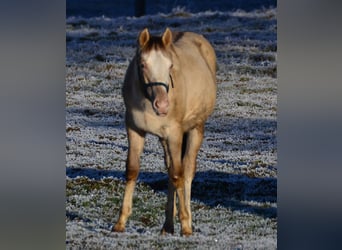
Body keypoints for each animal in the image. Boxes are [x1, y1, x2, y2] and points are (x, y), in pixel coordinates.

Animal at [113, 27, 218, 236]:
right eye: (143, 64)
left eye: (170, 66)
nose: (162, 105)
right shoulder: (134, 129)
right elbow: (132, 170)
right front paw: (120, 222)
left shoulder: (175, 134)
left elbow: (179, 174)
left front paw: (185, 225)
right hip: (164, 140)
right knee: (170, 169)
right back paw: (167, 225)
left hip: (196, 129)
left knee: (186, 170)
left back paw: (186, 220)